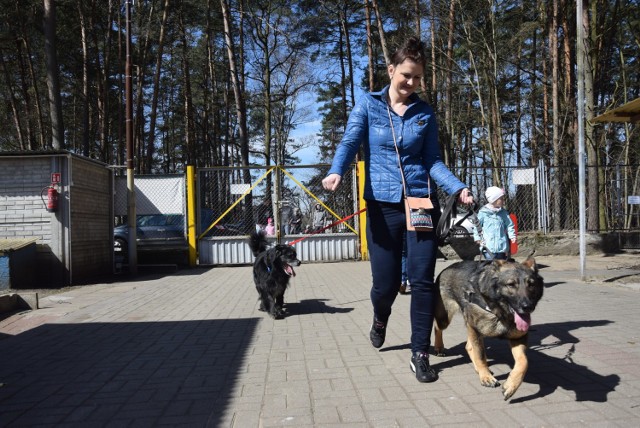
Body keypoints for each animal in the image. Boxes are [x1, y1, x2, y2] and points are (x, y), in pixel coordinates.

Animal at [432, 258, 544, 402]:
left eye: (531, 284)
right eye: (511, 284)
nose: (527, 307)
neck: (500, 312)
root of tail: (450, 266)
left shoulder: (518, 338)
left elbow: (523, 362)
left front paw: (511, 385)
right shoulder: (474, 328)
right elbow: (480, 355)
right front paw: (485, 377)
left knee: (469, 346)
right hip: (445, 319)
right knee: (437, 327)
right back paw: (439, 347)